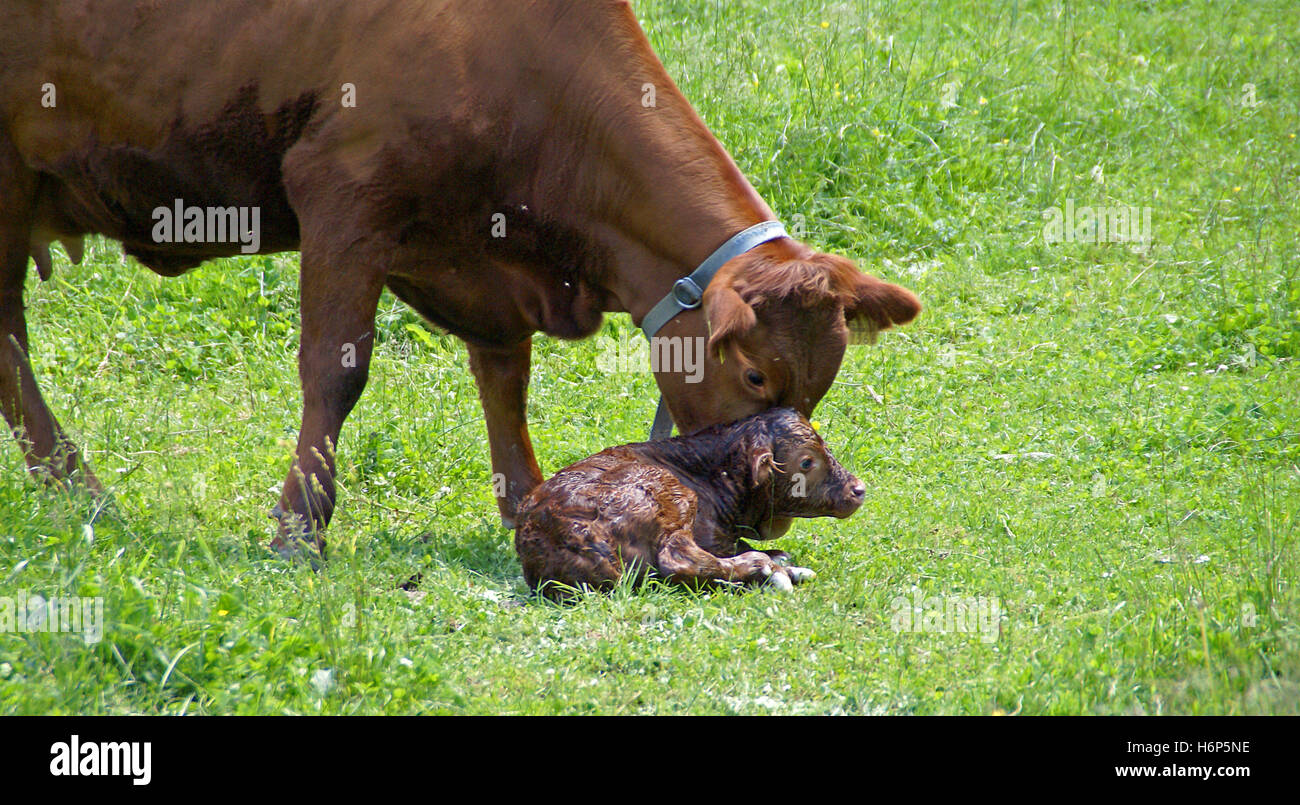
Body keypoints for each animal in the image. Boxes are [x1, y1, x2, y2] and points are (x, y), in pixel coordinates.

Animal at [0, 1, 920, 561]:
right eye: (755, 373)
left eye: (819, 388)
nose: (773, 507)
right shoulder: (344, 195)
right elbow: (334, 373)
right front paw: (299, 530)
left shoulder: (486, 268)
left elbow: (505, 384)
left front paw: (528, 506)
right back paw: (81, 489)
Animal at [514, 408, 863, 598]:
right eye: (806, 461)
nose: (858, 489)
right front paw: (773, 562)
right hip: (670, 497)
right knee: (678, 559)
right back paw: (765, 569)